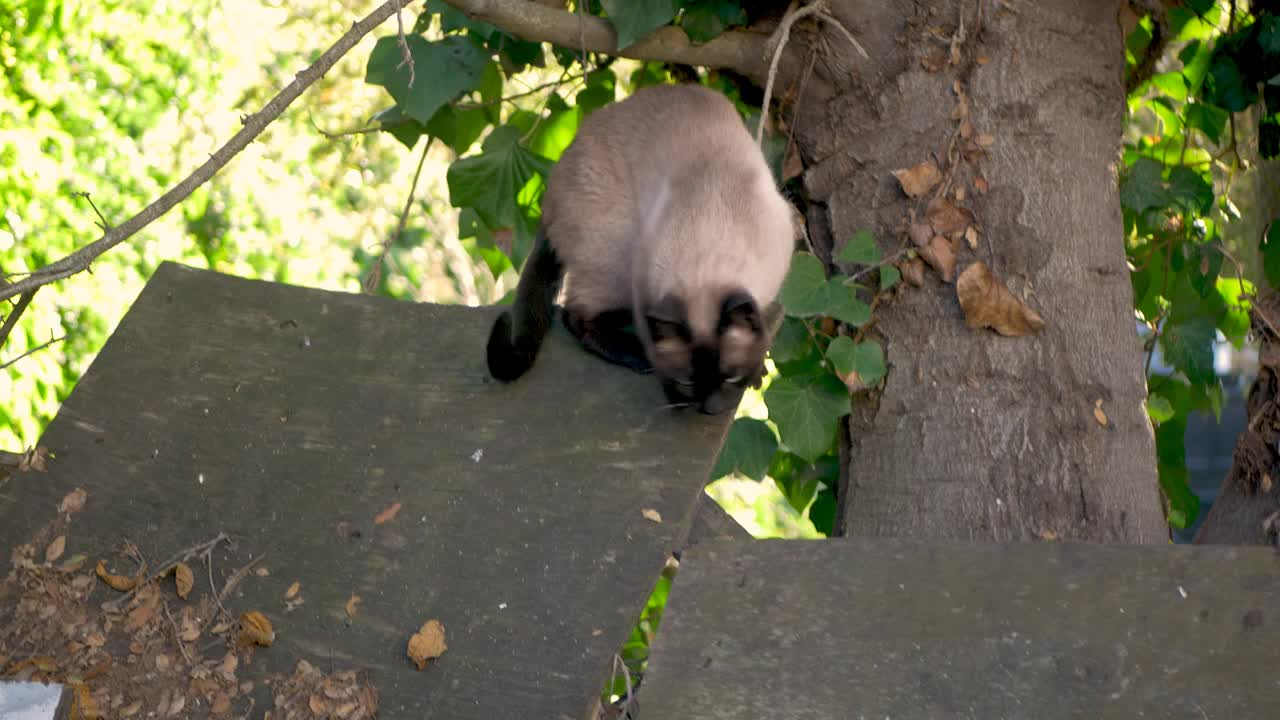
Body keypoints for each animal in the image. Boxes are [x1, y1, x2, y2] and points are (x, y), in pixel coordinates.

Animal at [483, 81, 793, 412]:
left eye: (731, 378)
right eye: (686, 383)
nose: (708, 408)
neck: (708, 261)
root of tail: (547, 195)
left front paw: (757, 372)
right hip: (617, 256)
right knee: (574, 314)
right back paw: (634, 354)